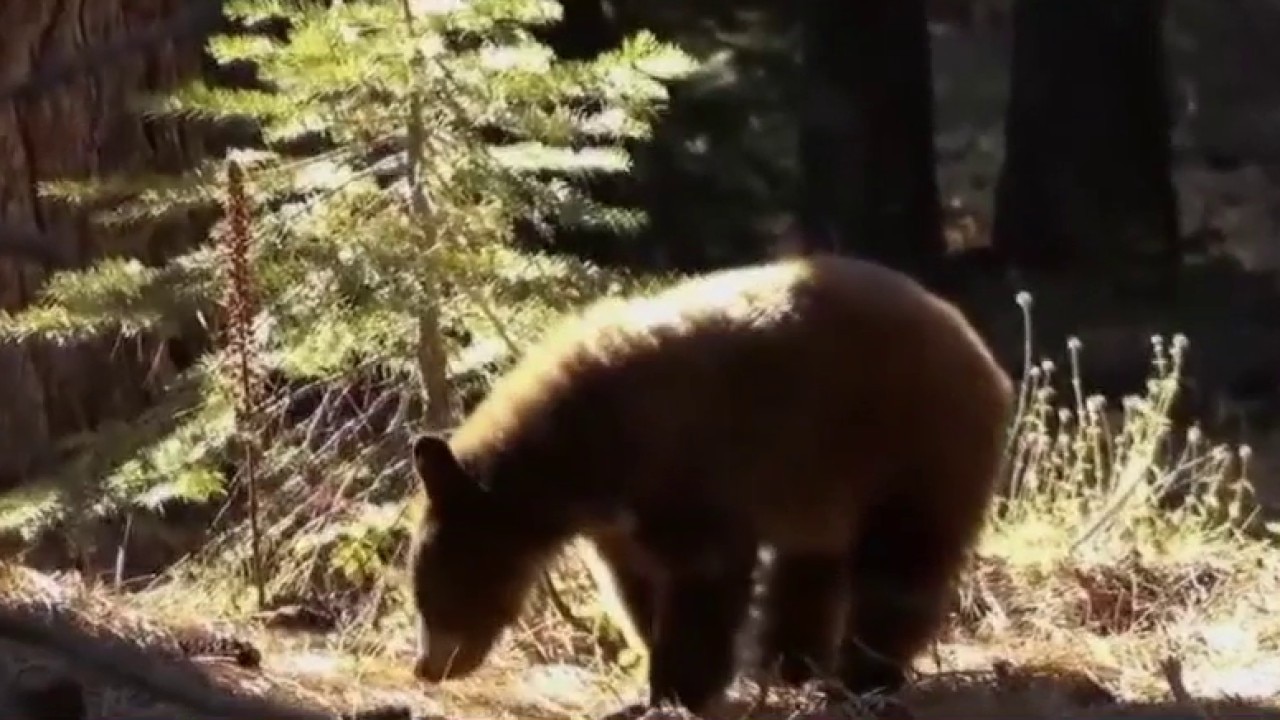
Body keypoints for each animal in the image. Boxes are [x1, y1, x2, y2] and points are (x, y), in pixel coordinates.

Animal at [406, 252, 1014, 716]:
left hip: (911, 447)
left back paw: (867, 675)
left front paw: (677, 691)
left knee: (899, 566)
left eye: (436, 593)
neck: (579, 450)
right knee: (809, 568)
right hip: (820, 486)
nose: (428, 667)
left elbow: (704, 571)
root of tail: (982, 352)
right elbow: (638, 585)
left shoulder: (683, 469)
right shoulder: (621, 524)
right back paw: (791, 665)